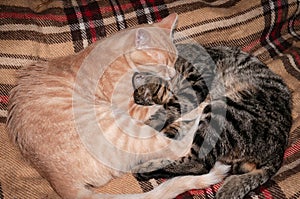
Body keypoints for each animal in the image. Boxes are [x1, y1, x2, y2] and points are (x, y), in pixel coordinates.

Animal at [5, 14, 230, 199]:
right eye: (162, 61)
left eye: (173, 59)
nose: (173, 73)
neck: (118, 55)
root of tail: (57, 180)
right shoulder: (133, 108)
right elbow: (172, 103)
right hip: (124, 126)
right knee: (183, 146)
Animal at [132, 43, 292, 197]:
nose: (139, 97)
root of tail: (278, 152)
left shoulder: (196, 82)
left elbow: (172, 108)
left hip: (221, 112)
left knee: (199, 163)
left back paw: (146, 168)